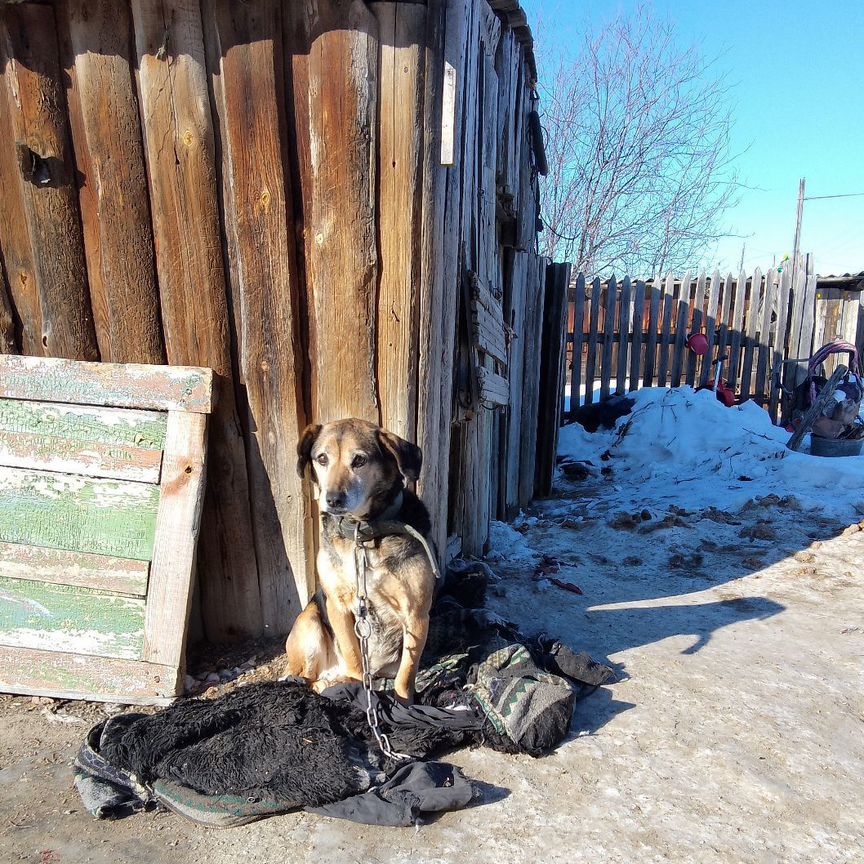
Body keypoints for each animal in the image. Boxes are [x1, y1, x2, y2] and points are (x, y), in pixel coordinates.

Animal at [286, 418, 438, 704]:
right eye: (321, 458)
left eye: (359, 460)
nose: (333, 499)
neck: (363, 534)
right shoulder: (337, 605)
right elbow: (354, 658)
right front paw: (357, 691)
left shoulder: (416, 615)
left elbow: (405, 674)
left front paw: (405, 704)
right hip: (309, 622)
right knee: (305, 678)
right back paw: (323, 683)